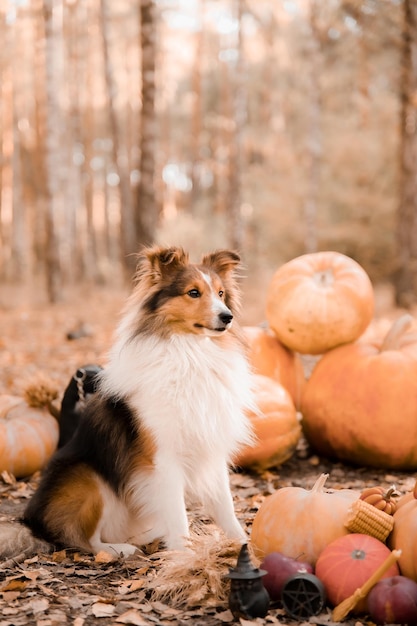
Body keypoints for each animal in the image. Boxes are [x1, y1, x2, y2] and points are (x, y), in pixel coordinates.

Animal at [23, 246, 256, 552]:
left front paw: (242, 543)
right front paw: (185, 554)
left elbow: (225, 505)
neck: (190, 354)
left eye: (220, 293)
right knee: (86, 540)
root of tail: (31, 517)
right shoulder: (162, 457)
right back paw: (119, 550)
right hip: (88, 479)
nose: (227, 317)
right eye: (193, 293)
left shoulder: (210, 442)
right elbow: (177, 513)